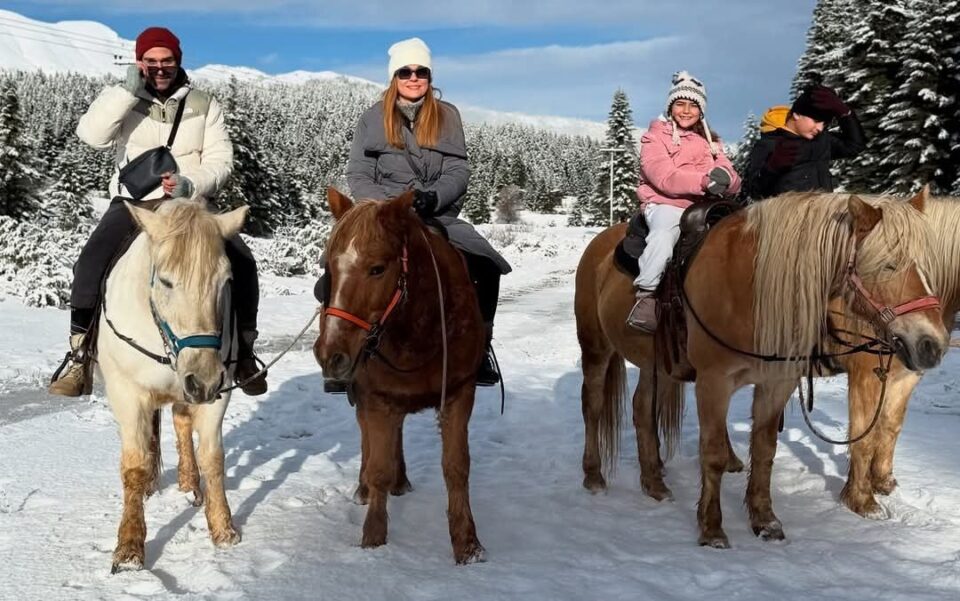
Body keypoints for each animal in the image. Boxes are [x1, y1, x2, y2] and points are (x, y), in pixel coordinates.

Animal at [96, 198, 248, 572]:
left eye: (226, 281)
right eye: (166, 281)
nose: (203, 379)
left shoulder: (217, 393)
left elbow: (213, 458)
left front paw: (223, 529)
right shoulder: (127, 394)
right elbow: (134, 466)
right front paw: (129, 547)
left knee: (181, 423)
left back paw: (189, 483)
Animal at [316, 188, 488, 564]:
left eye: (377, 268)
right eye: (330, 268)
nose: (330, 355)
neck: (417, 333)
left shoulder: (459, 394)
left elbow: (456, 467)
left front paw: (467, 544)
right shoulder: (376, 398)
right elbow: (378, 465)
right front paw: (373, 540)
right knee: (370, 441)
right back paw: (366, 488)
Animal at [572, 190, 948, 548]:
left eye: (928, 267)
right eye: (888, 265)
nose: (933, 344)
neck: (752, 288)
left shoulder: (777, 382)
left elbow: (765, 450)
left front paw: (765, 521)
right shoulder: (713, 382)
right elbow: (712, 454)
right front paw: (712, 529)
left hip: (659, 365)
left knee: (641, 410)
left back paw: (654, 483)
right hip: (596, 348)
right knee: (592, 406)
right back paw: (593, 477)